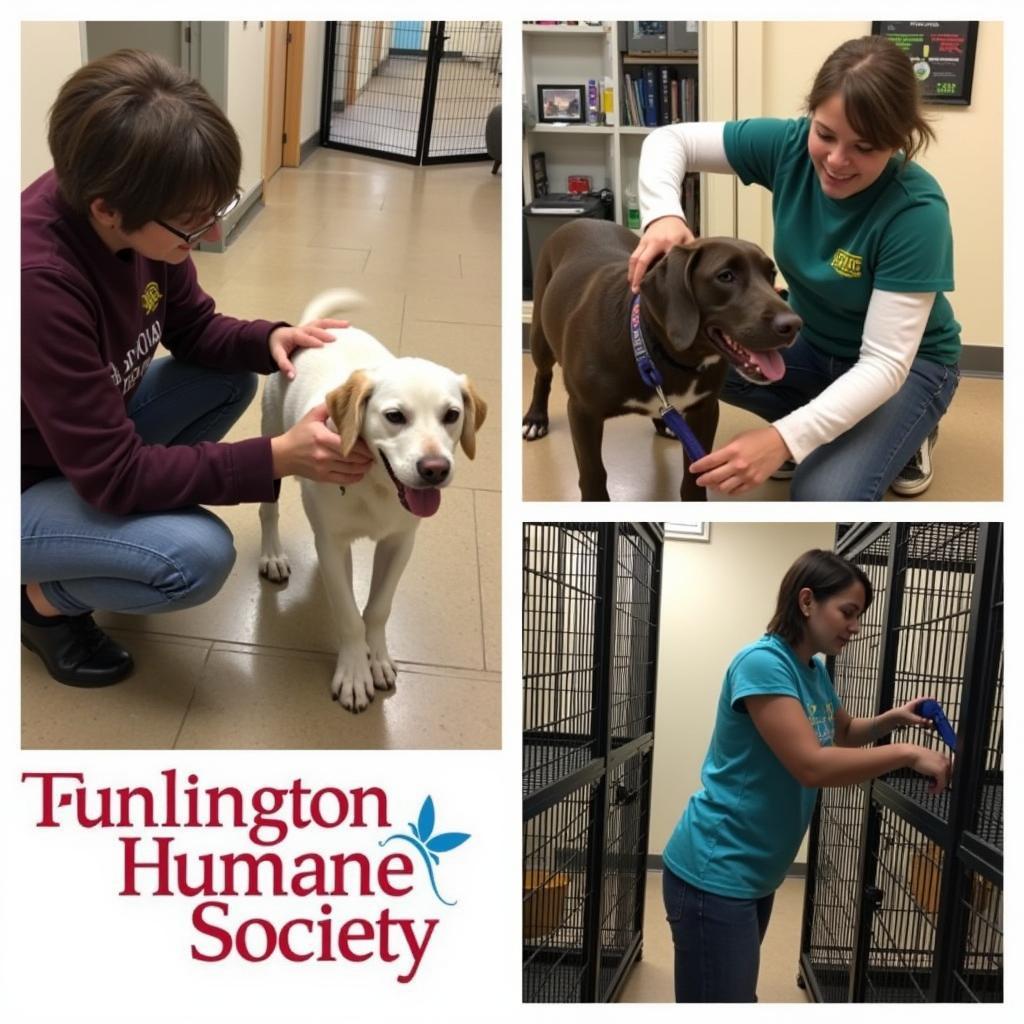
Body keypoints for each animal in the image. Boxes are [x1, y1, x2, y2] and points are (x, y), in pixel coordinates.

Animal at [258, 290, 485, 712]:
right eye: (395, 416)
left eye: (452, 415)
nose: (435, 469)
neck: (376, 486)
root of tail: (311, 330)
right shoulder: (333, 542)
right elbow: (348, 614)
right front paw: (354, 673)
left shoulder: (400, 543)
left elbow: (378, 607)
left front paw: (376, 657)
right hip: (272, 443)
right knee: (269, 510)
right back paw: (272, 555)